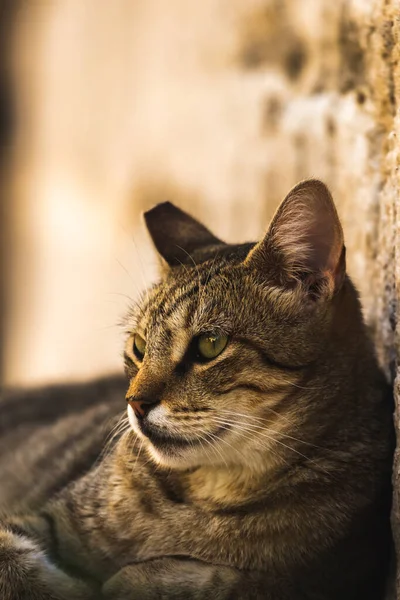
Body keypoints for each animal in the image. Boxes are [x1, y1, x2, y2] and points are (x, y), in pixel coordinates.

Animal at [0, 179, 394, 600]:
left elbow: (240, 581)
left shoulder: (333, 573)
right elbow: (12, 554)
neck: (204, 494)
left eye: (210, 344)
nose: (134, 403)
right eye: (139, 346)